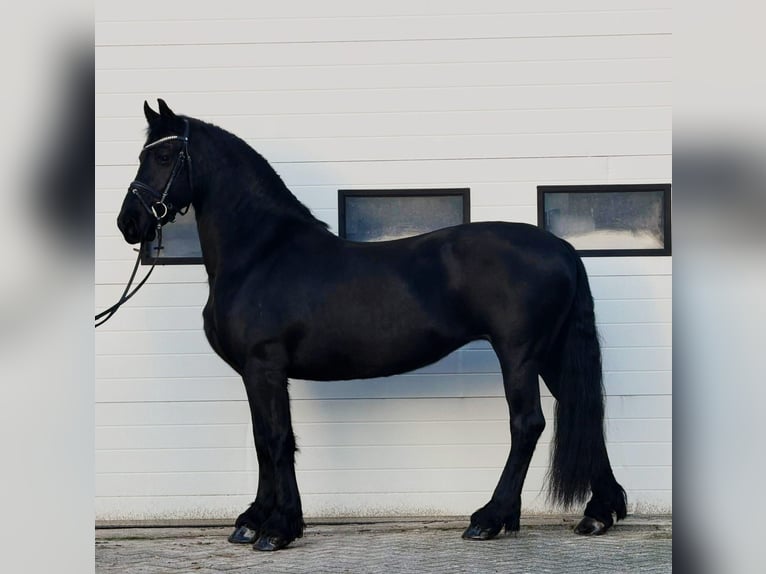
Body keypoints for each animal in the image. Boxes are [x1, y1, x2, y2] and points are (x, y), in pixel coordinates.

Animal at [116, 99, 627, 551]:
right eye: (143, 154)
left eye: (164, 156)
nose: (129, 222)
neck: (261, 253)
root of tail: (562, 246)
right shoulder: (254, 372)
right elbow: (263, 441)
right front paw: (254, 520)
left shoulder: (265, 366)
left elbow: (277, 440)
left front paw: (278, 529)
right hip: (551, 353)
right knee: (583, 411)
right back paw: (599, 513)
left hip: (519, 354)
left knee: (527, 424)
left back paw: (490, 518)